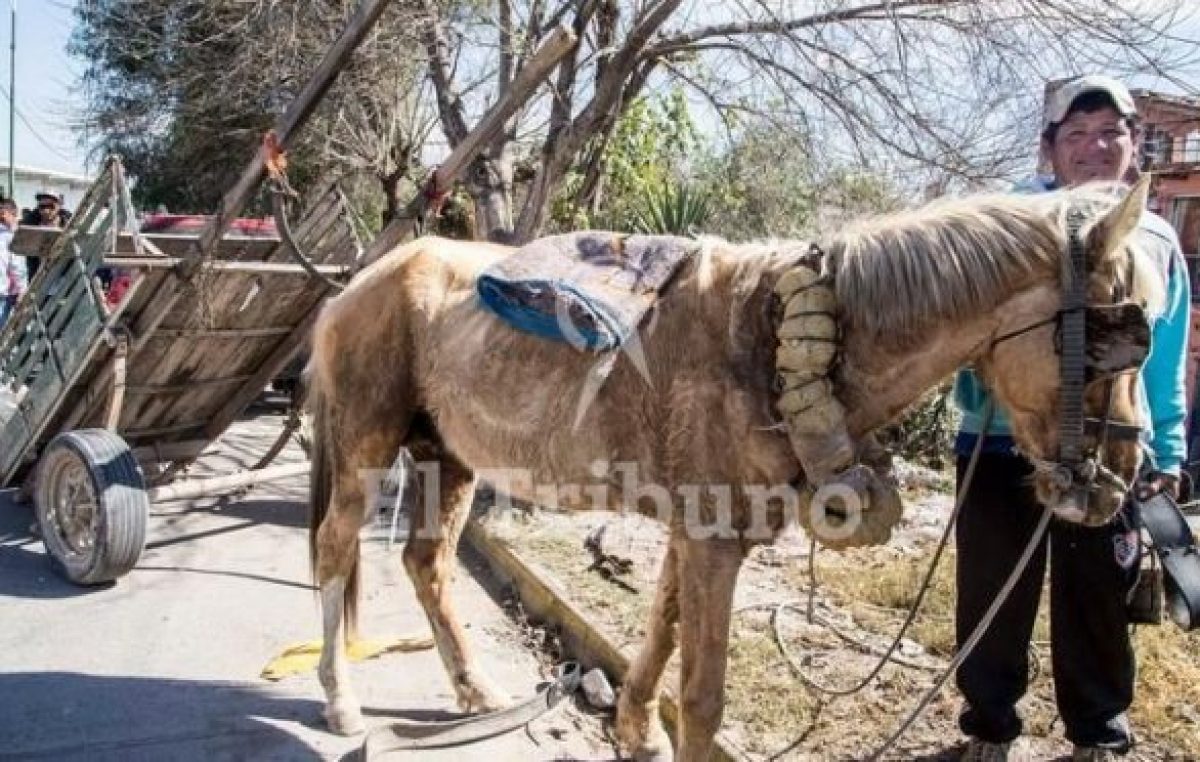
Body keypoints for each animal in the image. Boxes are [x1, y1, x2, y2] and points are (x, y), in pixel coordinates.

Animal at [305, 180, 1161, 761]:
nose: (1124, 477)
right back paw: (341, 700)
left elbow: (661, 633)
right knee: (334, 550)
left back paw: (473, 688)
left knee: (427, 563)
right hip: (366, 446)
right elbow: (702, 695)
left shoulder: (698, 533)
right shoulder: (713, 543)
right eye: (1117, 340)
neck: (776, 335)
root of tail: (360, 284)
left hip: (447, 454)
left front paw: (635, 730)